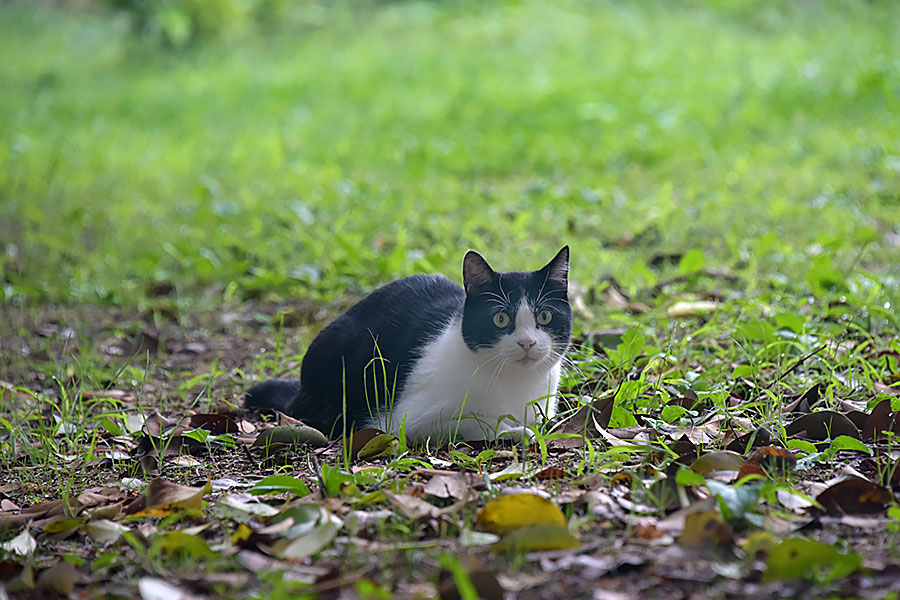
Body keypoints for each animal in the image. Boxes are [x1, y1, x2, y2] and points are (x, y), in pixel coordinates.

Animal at [246, 246, 568, 442]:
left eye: (544, 316)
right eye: (501, 319)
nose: (527, 342)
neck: (517, 385)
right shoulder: (407, 421)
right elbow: (481, 421)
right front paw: (516, 431)